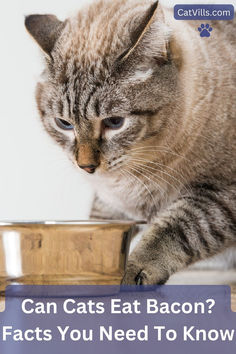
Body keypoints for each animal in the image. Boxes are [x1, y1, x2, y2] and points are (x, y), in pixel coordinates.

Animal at [24, 0, 235, 284]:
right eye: (64, 124)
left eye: (114, 122)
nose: (86, 167)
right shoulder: (111, 202)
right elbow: (95, 231)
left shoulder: (219, 196)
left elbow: (174, 230)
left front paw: (132, 272)